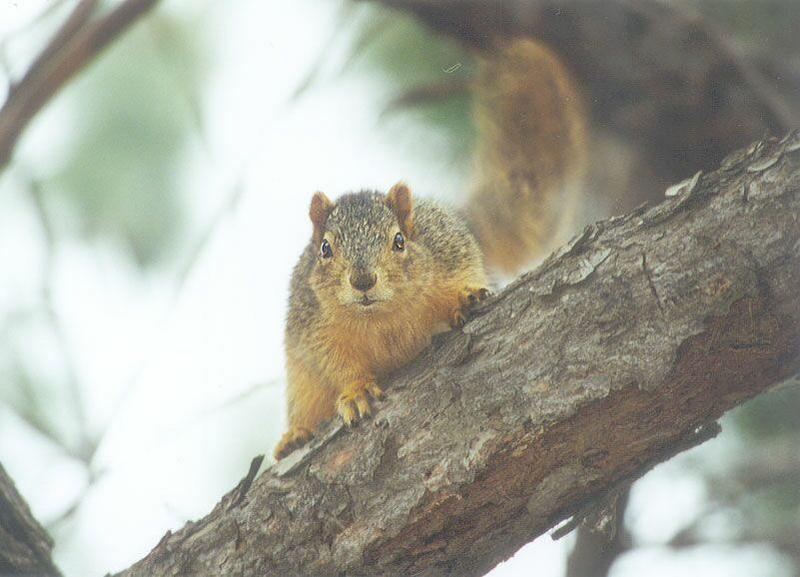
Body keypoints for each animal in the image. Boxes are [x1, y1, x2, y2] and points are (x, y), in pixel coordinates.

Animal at [276, 38, 588, 460]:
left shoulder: (451, 253)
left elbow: (463, 279)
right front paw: (355, 392)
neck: (381, 318)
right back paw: (295, 435)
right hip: (300, 384)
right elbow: (337, 364)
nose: (362, 281)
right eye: (325, 248)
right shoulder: (315, 329)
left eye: (399, 241)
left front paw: (467, 297)